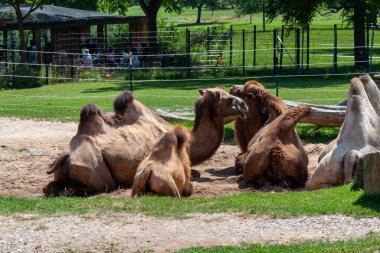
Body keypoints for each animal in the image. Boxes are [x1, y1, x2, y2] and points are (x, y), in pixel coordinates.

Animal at [44, 88, 248, 197]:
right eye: (229, 98)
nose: (245, 105)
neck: (191, 142)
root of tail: (66, 154)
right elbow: (194, 173)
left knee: (51, 187)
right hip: (95, 170)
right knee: (97, 186)